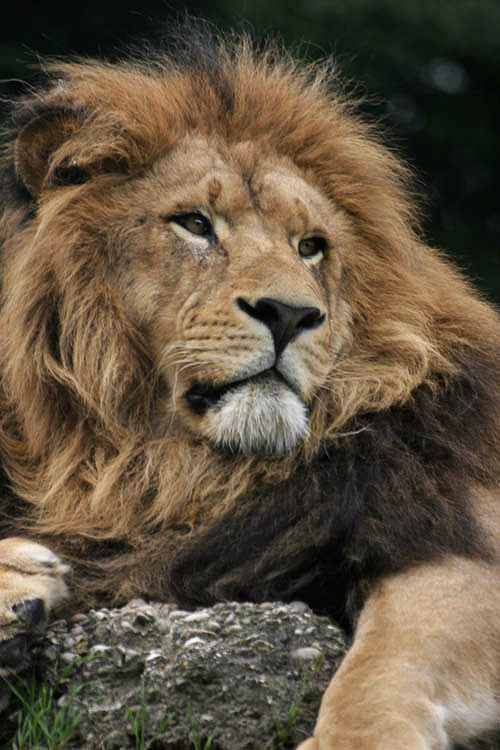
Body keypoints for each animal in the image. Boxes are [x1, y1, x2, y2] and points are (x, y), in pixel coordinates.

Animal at [0, 26, 499, 749]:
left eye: (310, 245)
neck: (180, 470)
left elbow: (384, 665)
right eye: (195, 223)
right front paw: (19, 578)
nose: (290, 314)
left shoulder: (452, 528)